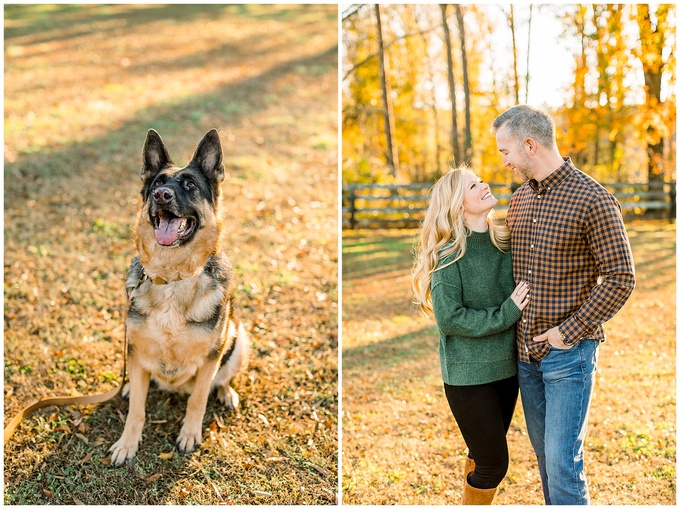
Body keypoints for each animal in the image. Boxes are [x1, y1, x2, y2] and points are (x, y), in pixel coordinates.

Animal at [109, 128, 250, 464]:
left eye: (190, 185)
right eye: (157, 183)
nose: (161, 195)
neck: (172, 278)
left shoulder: (211, 356)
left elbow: (198, 399)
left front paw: (189, 434)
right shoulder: (134, 348)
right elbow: (137, 410)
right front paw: (128, 443)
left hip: (238, 338)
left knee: (222, 377)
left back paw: (226, 392)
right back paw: (128, 388)